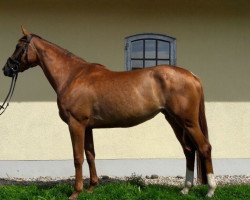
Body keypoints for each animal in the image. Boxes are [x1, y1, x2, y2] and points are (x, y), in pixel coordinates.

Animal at [1, 27, 216, 198]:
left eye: (18, 46)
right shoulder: (87, 126)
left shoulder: (76, 124)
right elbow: (90, 154)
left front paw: (76, 192)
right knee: (189, 150)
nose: (6, 68)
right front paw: (91, 188)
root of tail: (192, 76)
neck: (72, 76)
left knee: (204, 147)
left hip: (188, 121)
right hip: (174, 120)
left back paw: (210, 190)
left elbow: (78, 157)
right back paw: (185, 189)